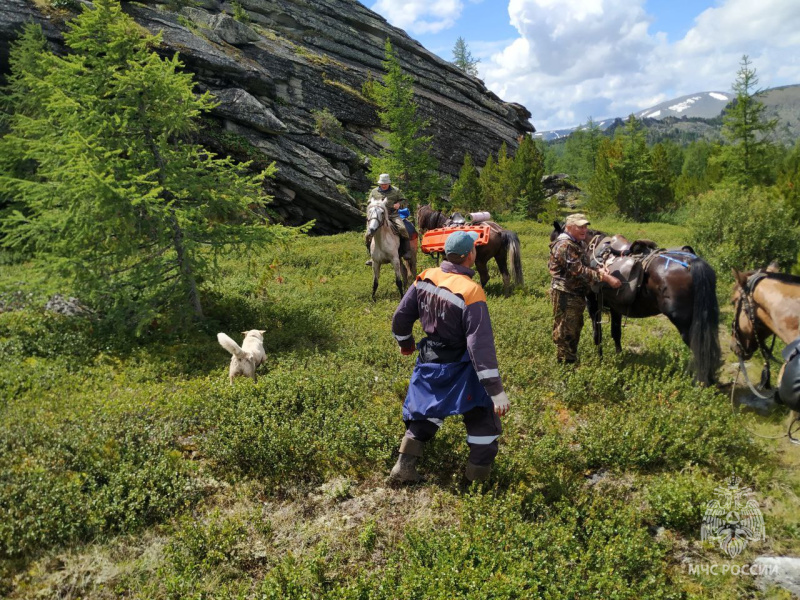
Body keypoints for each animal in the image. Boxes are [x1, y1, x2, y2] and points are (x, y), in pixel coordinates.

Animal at [548, 221, 720, 384]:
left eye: (553, 238)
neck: (591, 250)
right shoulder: (616, 308)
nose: (551, 262)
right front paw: (619, 358)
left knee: (701, 350)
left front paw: (600, 359)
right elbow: (616, 333)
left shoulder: (592, 305)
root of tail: (694, 263)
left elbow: (597, 335)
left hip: (686, 324)